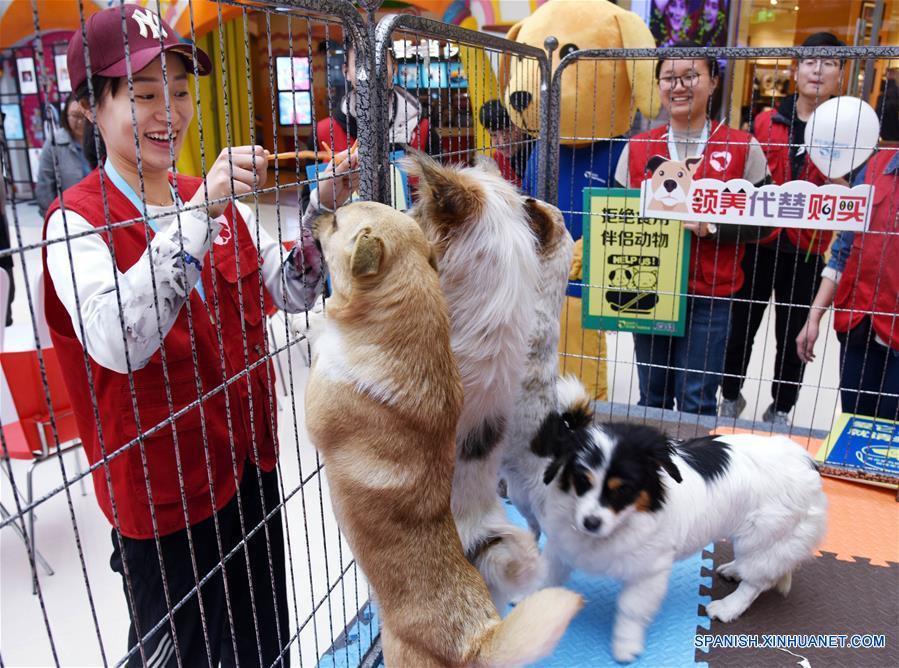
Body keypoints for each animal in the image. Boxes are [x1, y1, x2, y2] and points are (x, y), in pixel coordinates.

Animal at [536, 376, 828, 664]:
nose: (590, 523)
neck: (623, 522)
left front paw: (626, 646)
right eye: (582, 481)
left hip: (762, 535)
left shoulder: (649, 573)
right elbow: (544, 578)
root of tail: (806, 461)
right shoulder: (560, 549)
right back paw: (734, 569)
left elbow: (630, 610)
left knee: (756, 581)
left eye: (622, 490)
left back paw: (728, 606)